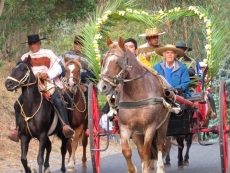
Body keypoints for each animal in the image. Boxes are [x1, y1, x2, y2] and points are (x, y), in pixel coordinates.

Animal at [97, 36, 172, 173]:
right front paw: (134, 169)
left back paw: (159, 168)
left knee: (159, 143)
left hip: (163, 124)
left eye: (118, 62)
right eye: (103, 61)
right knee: (140, 150)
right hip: (137, 133)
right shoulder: (125, 127)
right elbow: (127, 151)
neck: (136, 94)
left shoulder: (150, 127)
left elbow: (147, 152)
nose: (102, 86)